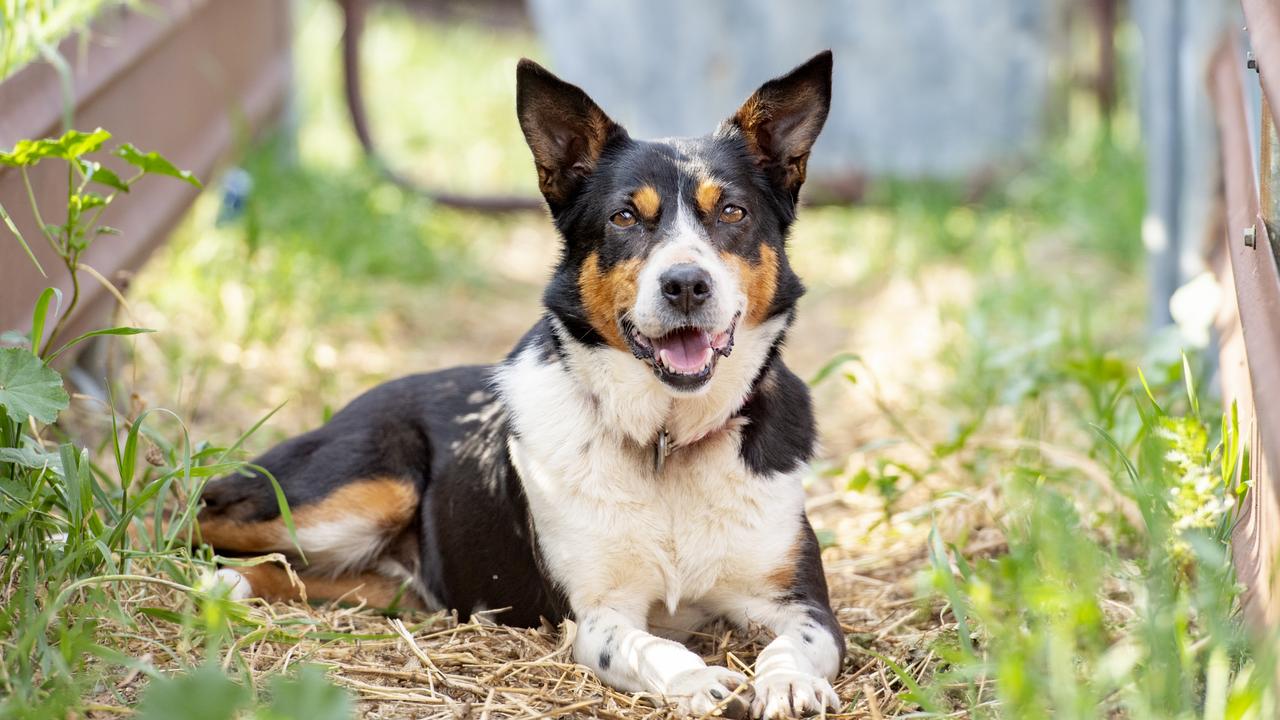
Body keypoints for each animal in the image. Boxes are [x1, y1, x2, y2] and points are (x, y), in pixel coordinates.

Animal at [197, 51, 839, 717]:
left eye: (733, 212)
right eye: (624, 217)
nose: (685, 284)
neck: (666, 440)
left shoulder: (802, 603)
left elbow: (795, 643)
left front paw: (787, 681)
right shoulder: (597, 615)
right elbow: (653, 648)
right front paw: (700, 681)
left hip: (393, 580)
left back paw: (234, 583)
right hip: (359, 487)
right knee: (199, 510)